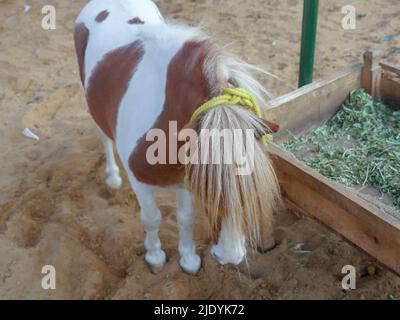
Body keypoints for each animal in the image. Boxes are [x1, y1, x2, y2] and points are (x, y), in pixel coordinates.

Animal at [74, 0, 282, 276]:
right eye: (208, 189)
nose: (230, 256)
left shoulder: (184, 178)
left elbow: (185, 219)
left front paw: (189, 260)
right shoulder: (140, 184)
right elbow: (151, 219)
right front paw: (155, 257)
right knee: (104, 137)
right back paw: (112, 178)